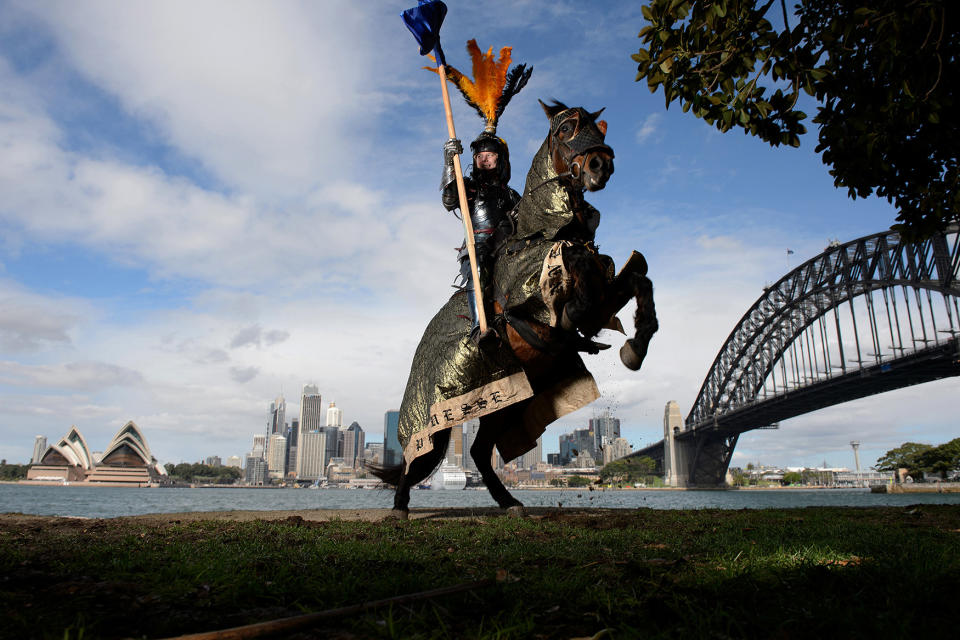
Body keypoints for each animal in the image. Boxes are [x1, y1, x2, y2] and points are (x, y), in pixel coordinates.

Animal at [370, 101, 660, 520]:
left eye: (600, 128)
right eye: (565, 129)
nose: (599, 165)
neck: (544, 235)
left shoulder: (605, 292)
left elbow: (639, 278)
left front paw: (635, 347)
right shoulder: (539, 309)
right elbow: (579, 293)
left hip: (507, 401)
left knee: (477, 451)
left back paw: (509, 502)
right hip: (438, 413)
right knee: (419, 457)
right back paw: (400, 508)